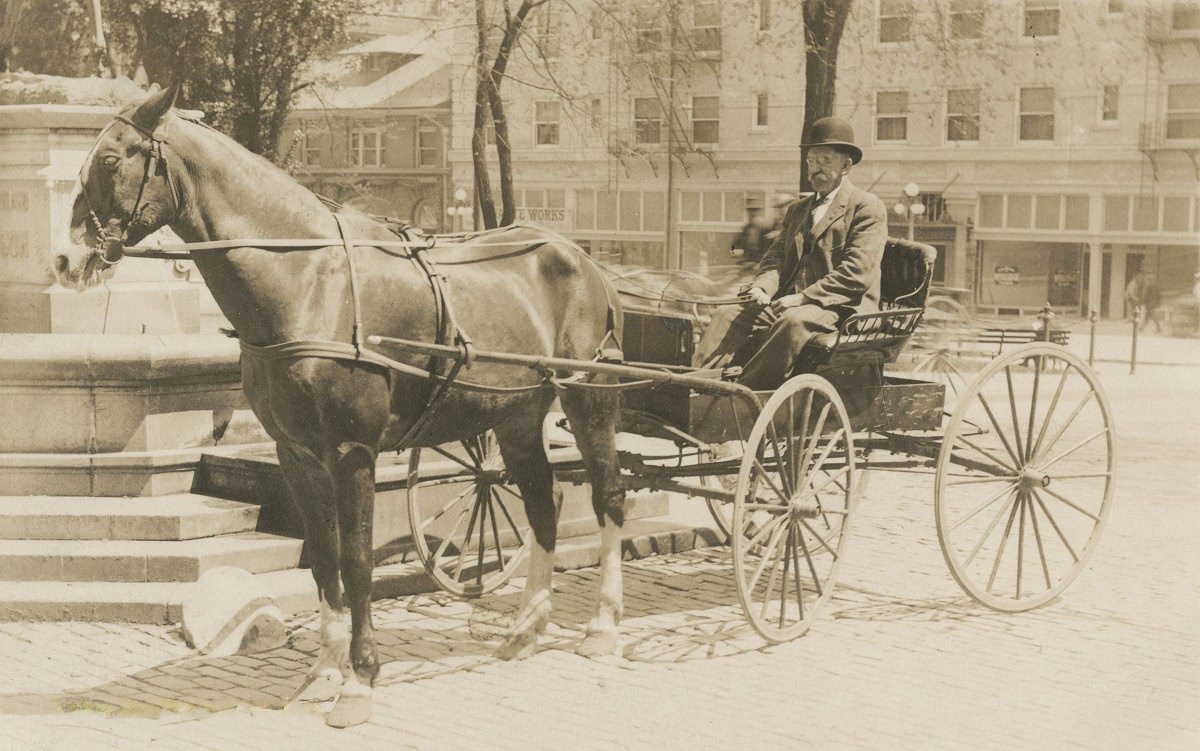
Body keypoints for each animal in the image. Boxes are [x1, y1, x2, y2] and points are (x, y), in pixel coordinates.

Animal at [55, 81, 633, 724]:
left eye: (111, 160)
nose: (65, 259)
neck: (308, 278)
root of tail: (583, 258)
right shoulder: (296, 454)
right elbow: (324, 558)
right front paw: (323, 673)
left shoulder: (354, 451)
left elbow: (358, 562)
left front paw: (360, 678)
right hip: (516, 416)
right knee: (542, 505)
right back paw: (527, 628)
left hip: (589, 399)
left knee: (609, 497)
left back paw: (602, 625)